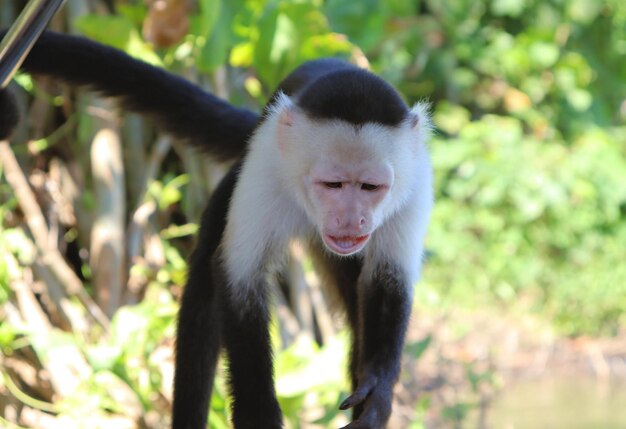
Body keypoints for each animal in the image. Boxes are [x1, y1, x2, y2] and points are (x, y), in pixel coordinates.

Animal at [0, 30, 432, 428]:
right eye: (333, 184)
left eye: (370, 187)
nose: (352, 219)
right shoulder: (264, 169)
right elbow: (238, 280)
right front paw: (258, 413)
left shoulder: (415, 180)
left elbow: (388, 278)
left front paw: (377, 390)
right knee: (206, 283)